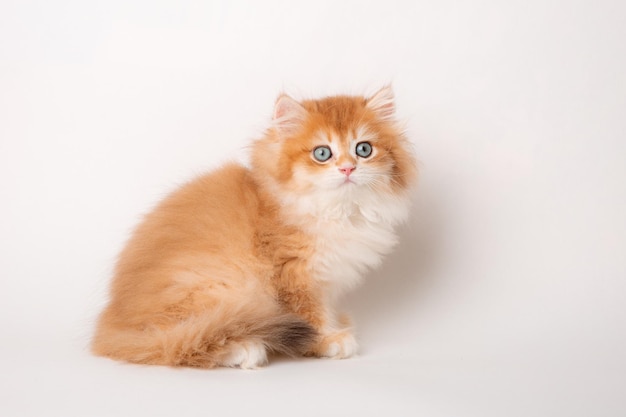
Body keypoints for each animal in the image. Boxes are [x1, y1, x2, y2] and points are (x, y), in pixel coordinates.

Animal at [91, 87, 414, 368]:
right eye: (322, 153)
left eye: (363, 149)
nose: (348, 168)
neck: (337, 210)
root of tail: (111, 327)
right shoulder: (294, 274)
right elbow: (310, 314)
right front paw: (327, 340)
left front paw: (337, 324)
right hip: (218, 285)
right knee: (182, 343)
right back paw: (243, 349)